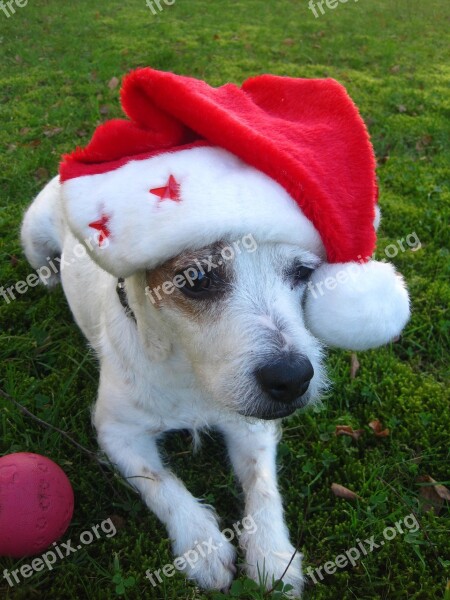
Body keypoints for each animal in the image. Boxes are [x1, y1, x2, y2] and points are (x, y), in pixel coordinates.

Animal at [20, 69, 412, 596]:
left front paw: (273, 556)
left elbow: (263, 487)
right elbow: (160, 483)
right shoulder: (116, 430)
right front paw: (202, 546)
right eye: (198, 279)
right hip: (32, 236)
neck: (188, 373)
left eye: (305, 273)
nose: (292, 378)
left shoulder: (253, 425)